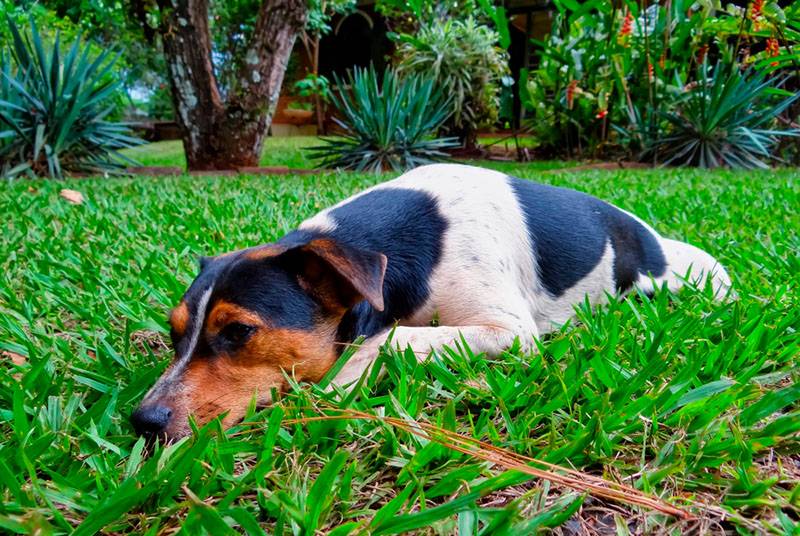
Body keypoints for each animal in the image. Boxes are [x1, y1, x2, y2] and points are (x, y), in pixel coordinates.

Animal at [133, 163, 732, 440]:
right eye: (174, 333)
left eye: (238, 332)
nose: (143, 421)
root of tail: (653, 238)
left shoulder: (510, 331)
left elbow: (388, 335)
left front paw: (340, 383)